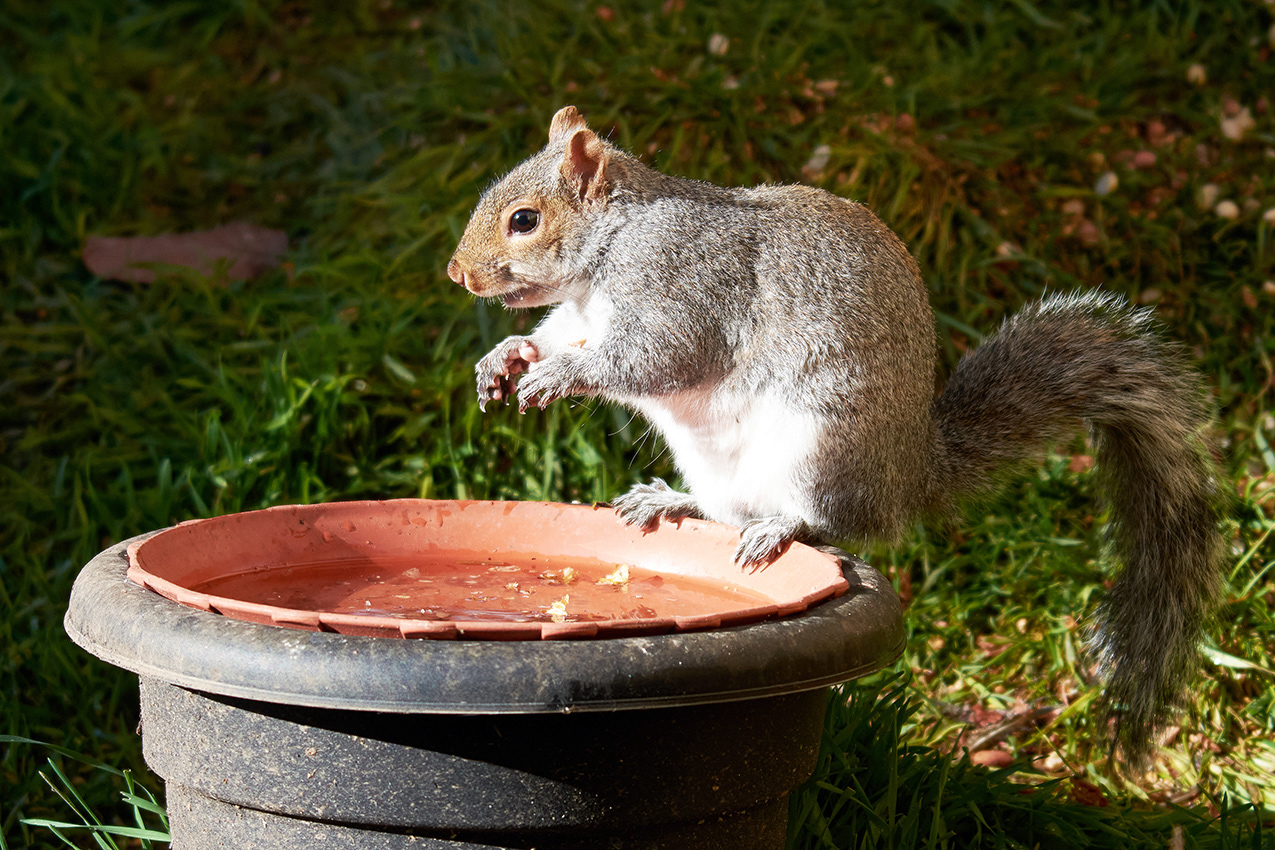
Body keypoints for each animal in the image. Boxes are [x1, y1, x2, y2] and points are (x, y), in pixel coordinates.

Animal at [447, 105, 1226, 766]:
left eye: (523, 220)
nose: (457, 273)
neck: (611, 249)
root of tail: (908, 476)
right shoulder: (581, 314)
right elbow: (551, 335)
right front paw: (506, 357)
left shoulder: (683, 286)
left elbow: (654, 356)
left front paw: (559, 375)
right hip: (718, 464)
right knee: (729, 508)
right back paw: (673, 502)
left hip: (821, 446)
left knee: (828, 523)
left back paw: (778, 529)